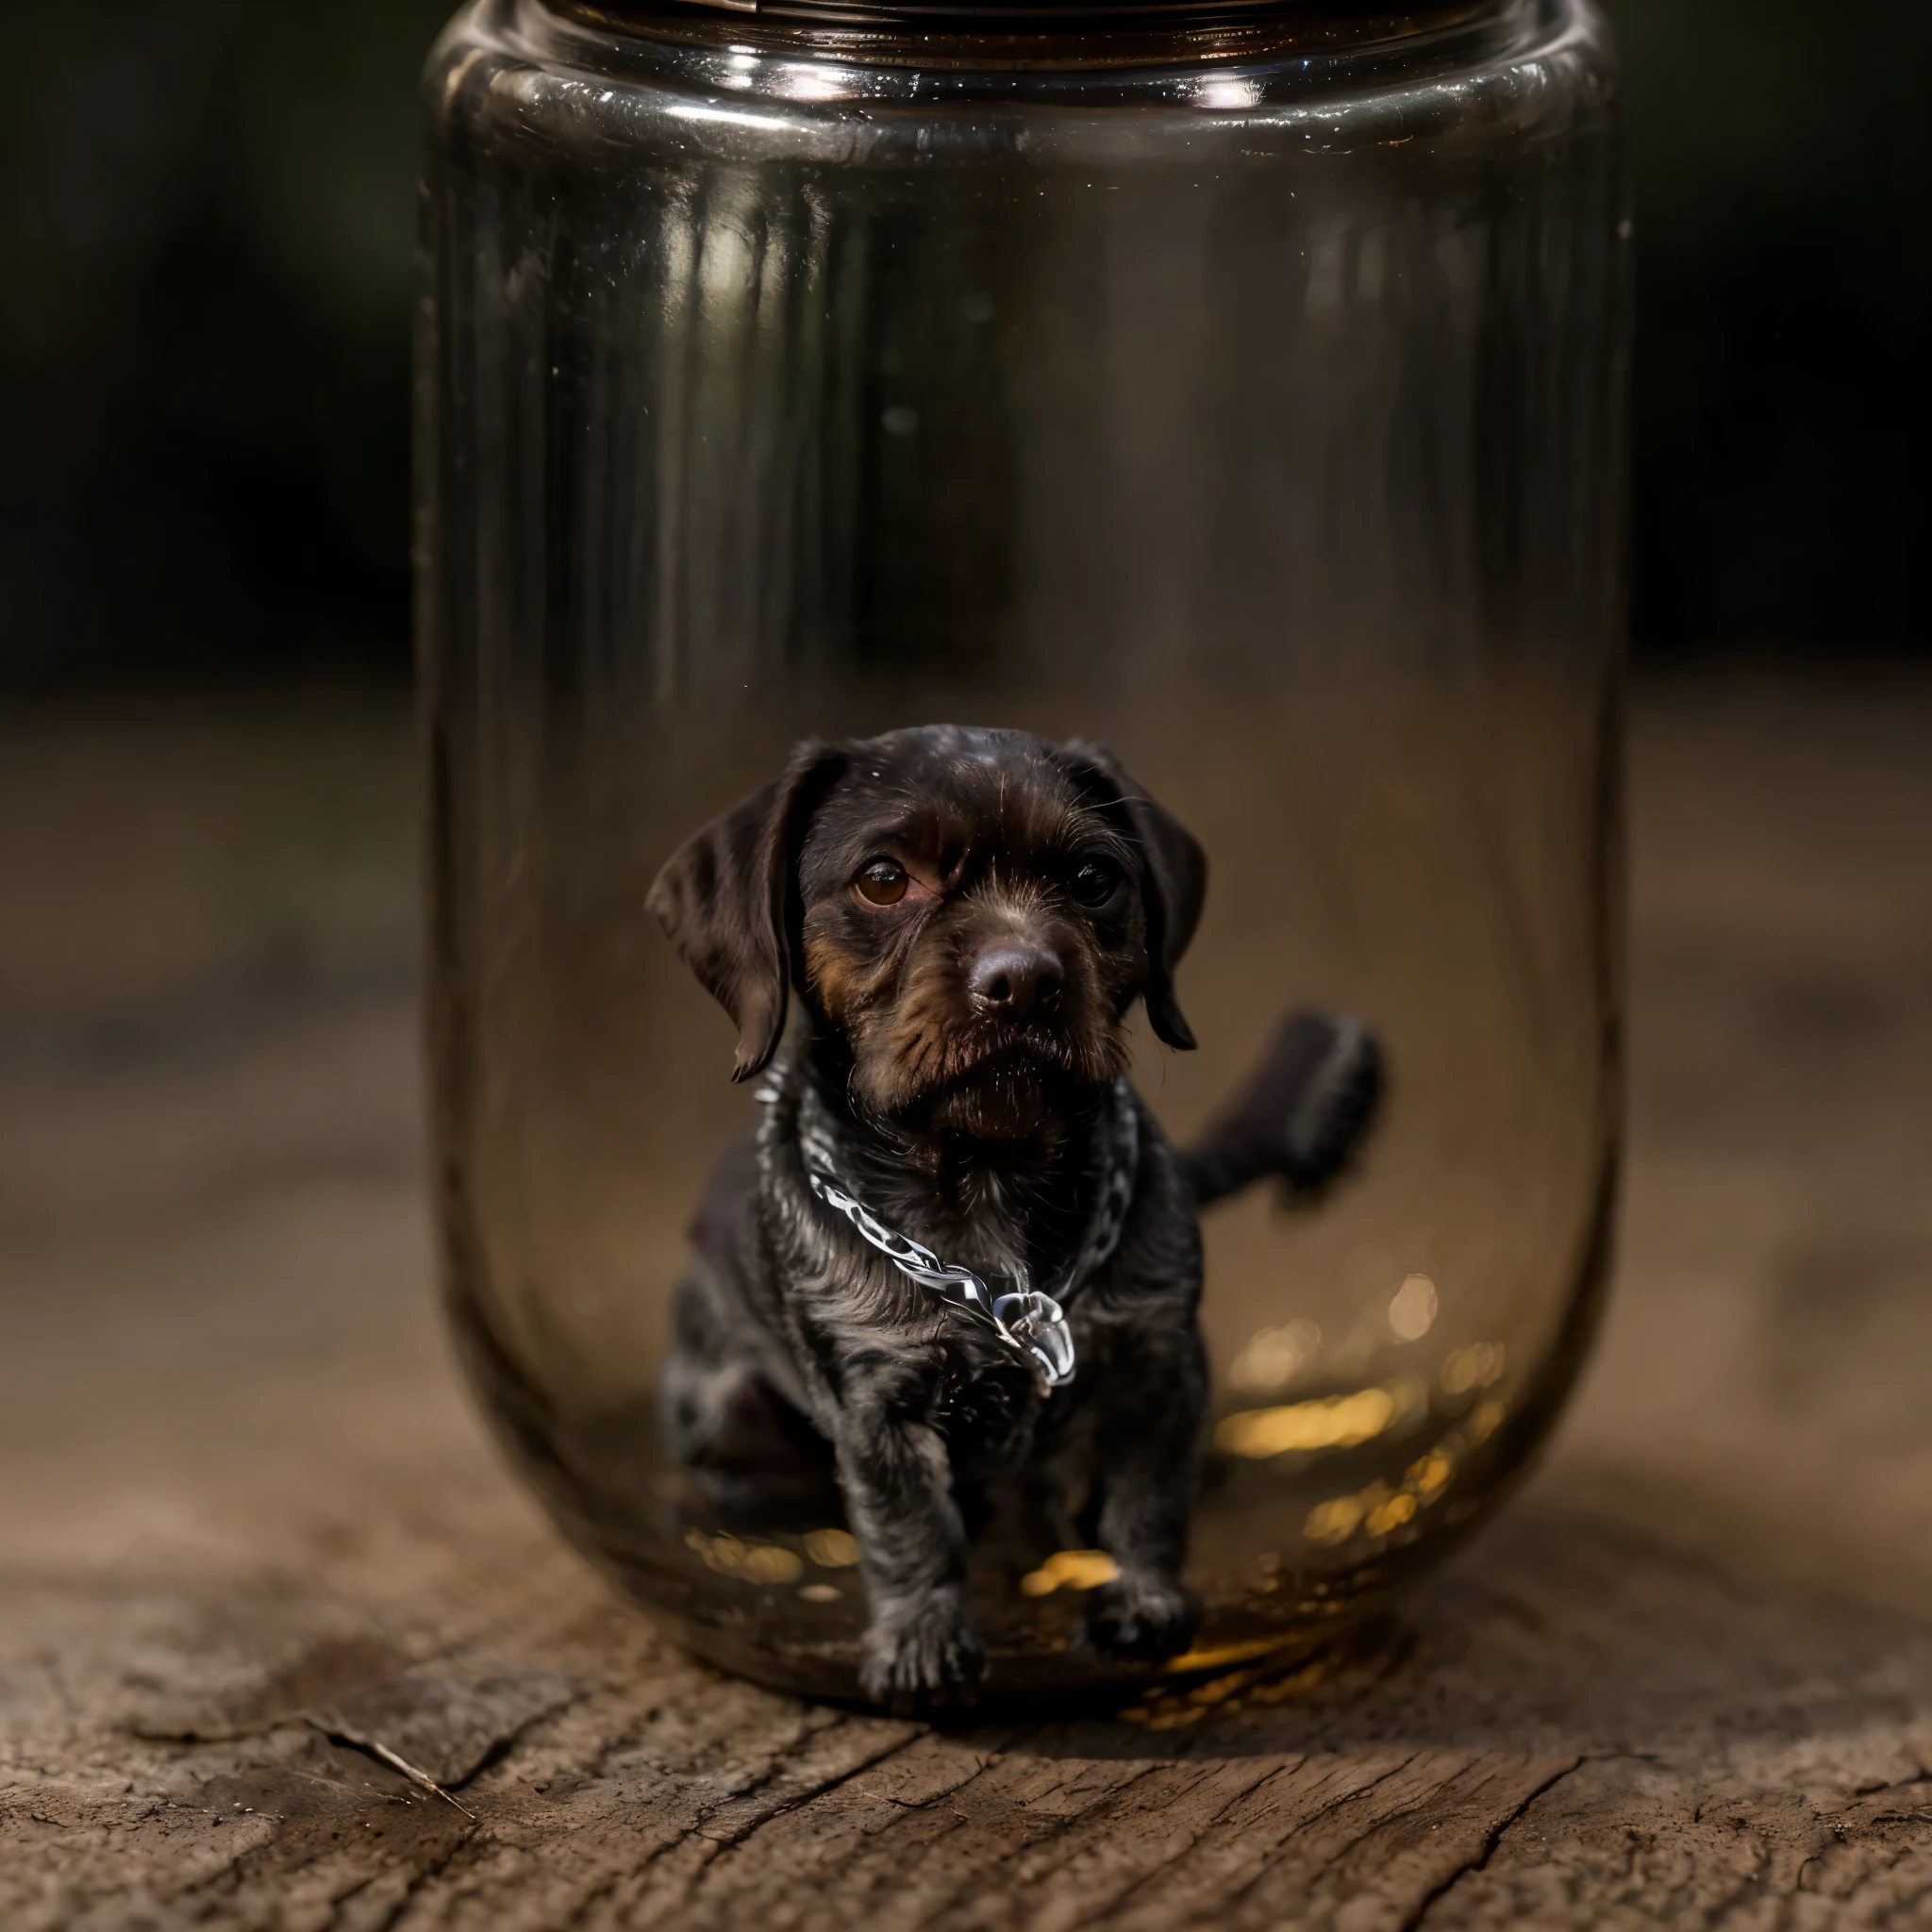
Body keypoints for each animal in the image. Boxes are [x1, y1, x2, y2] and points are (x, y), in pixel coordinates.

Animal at [649, 726, 1375, 1707]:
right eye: (885, 878)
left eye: (1095, 877)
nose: (1024, 981)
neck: (986, 1187)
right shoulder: (877, 1404)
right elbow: (909, 1527)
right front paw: (921, 1643)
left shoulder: (1160, 1363)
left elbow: (1149, 1497)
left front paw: (1144, 1602)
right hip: (726, 1417)